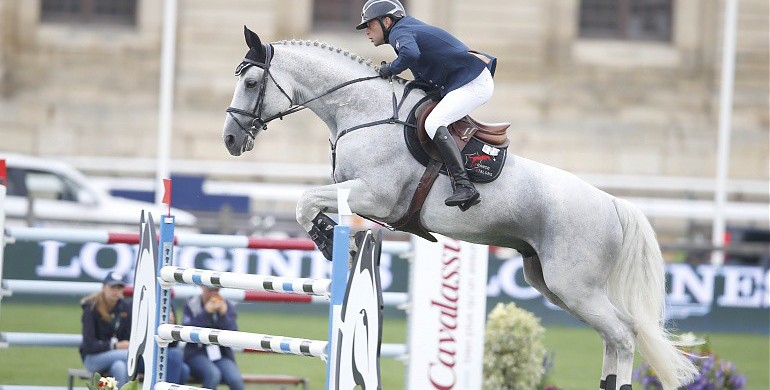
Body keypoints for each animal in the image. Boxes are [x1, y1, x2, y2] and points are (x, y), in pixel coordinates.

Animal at [220, 28, 696, 390]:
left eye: (250, 83)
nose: (229, 140)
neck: (362, 113)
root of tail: (613, 204)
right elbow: (310, 203)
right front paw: (337, 240)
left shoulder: (374, 197)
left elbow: (305, 202)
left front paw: (328, 240)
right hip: (552, 283)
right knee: (612, 336)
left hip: (575, 285)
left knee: (625, 334)